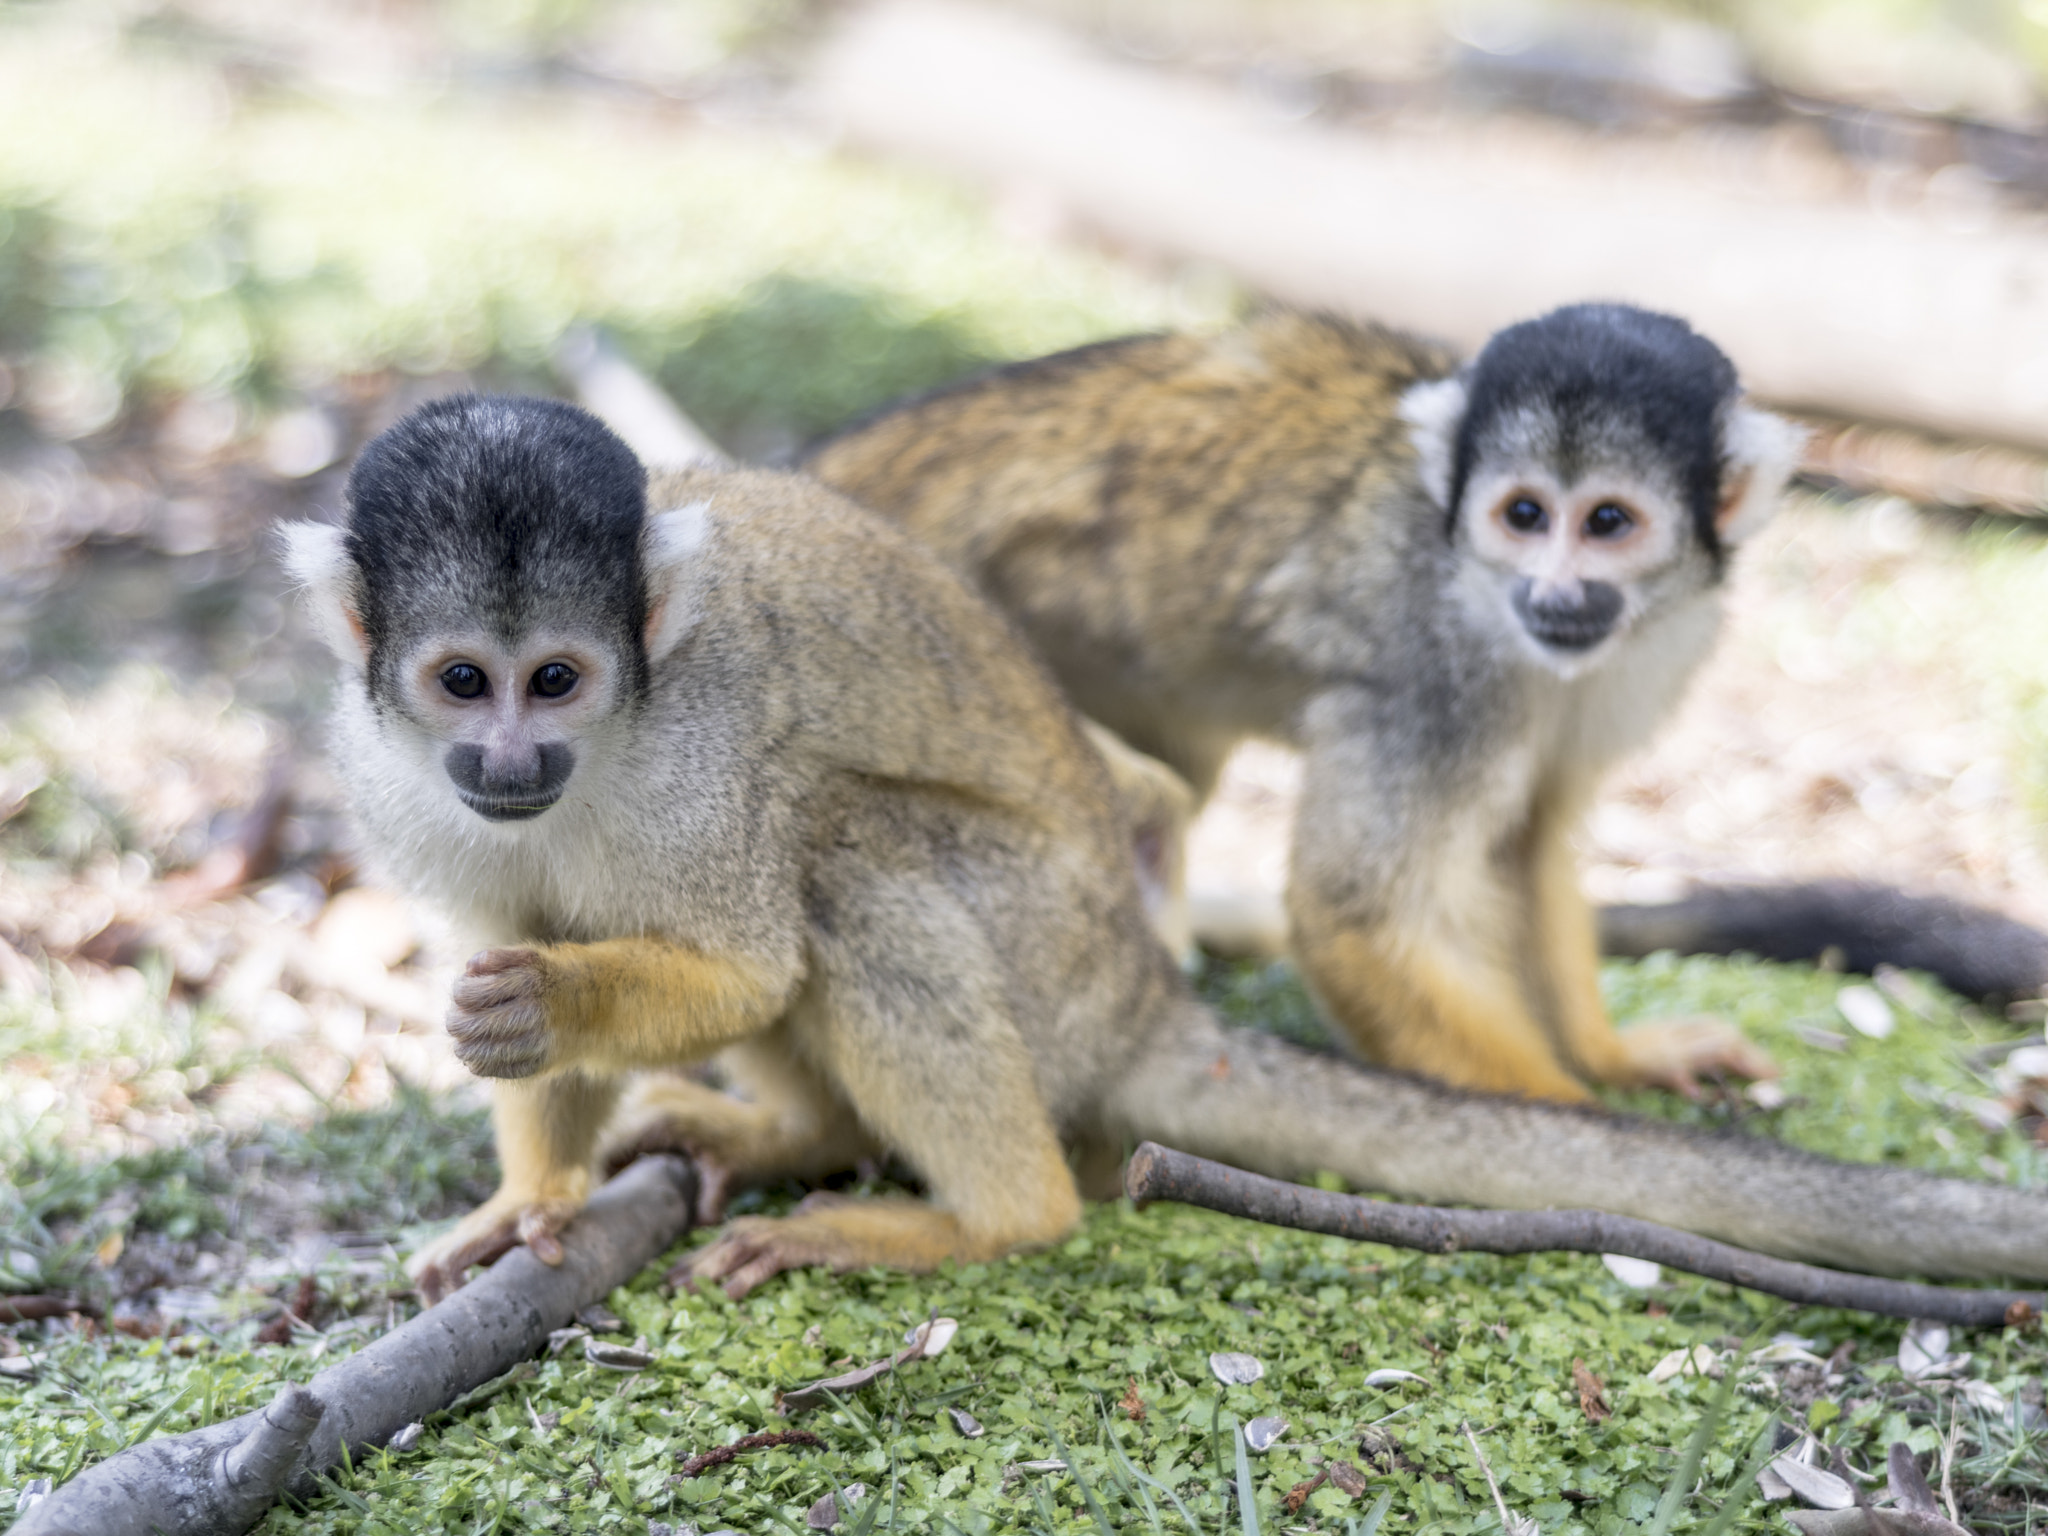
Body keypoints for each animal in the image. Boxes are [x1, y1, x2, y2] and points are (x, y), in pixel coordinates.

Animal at [284, 393, 2048, 1302]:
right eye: (463, 683)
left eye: (560, 680)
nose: (511, 759)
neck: (601, 758)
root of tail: (1145, 987)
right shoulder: (396, 773)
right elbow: (507, 926)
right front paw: (531, 1191)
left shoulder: (700, 746)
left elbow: (750, 954)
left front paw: (557, 1008)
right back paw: (791, 1136)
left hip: (1052, 956)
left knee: (839, 849)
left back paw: (983, 1218)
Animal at [806, 303, 1802, 1105]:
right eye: (1523, 515)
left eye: (1606, 523)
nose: (1552, 594)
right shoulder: (1429, 667)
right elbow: (1356, 912)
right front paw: (1578, 1131)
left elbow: (1527, 848)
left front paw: (1613, 1058)